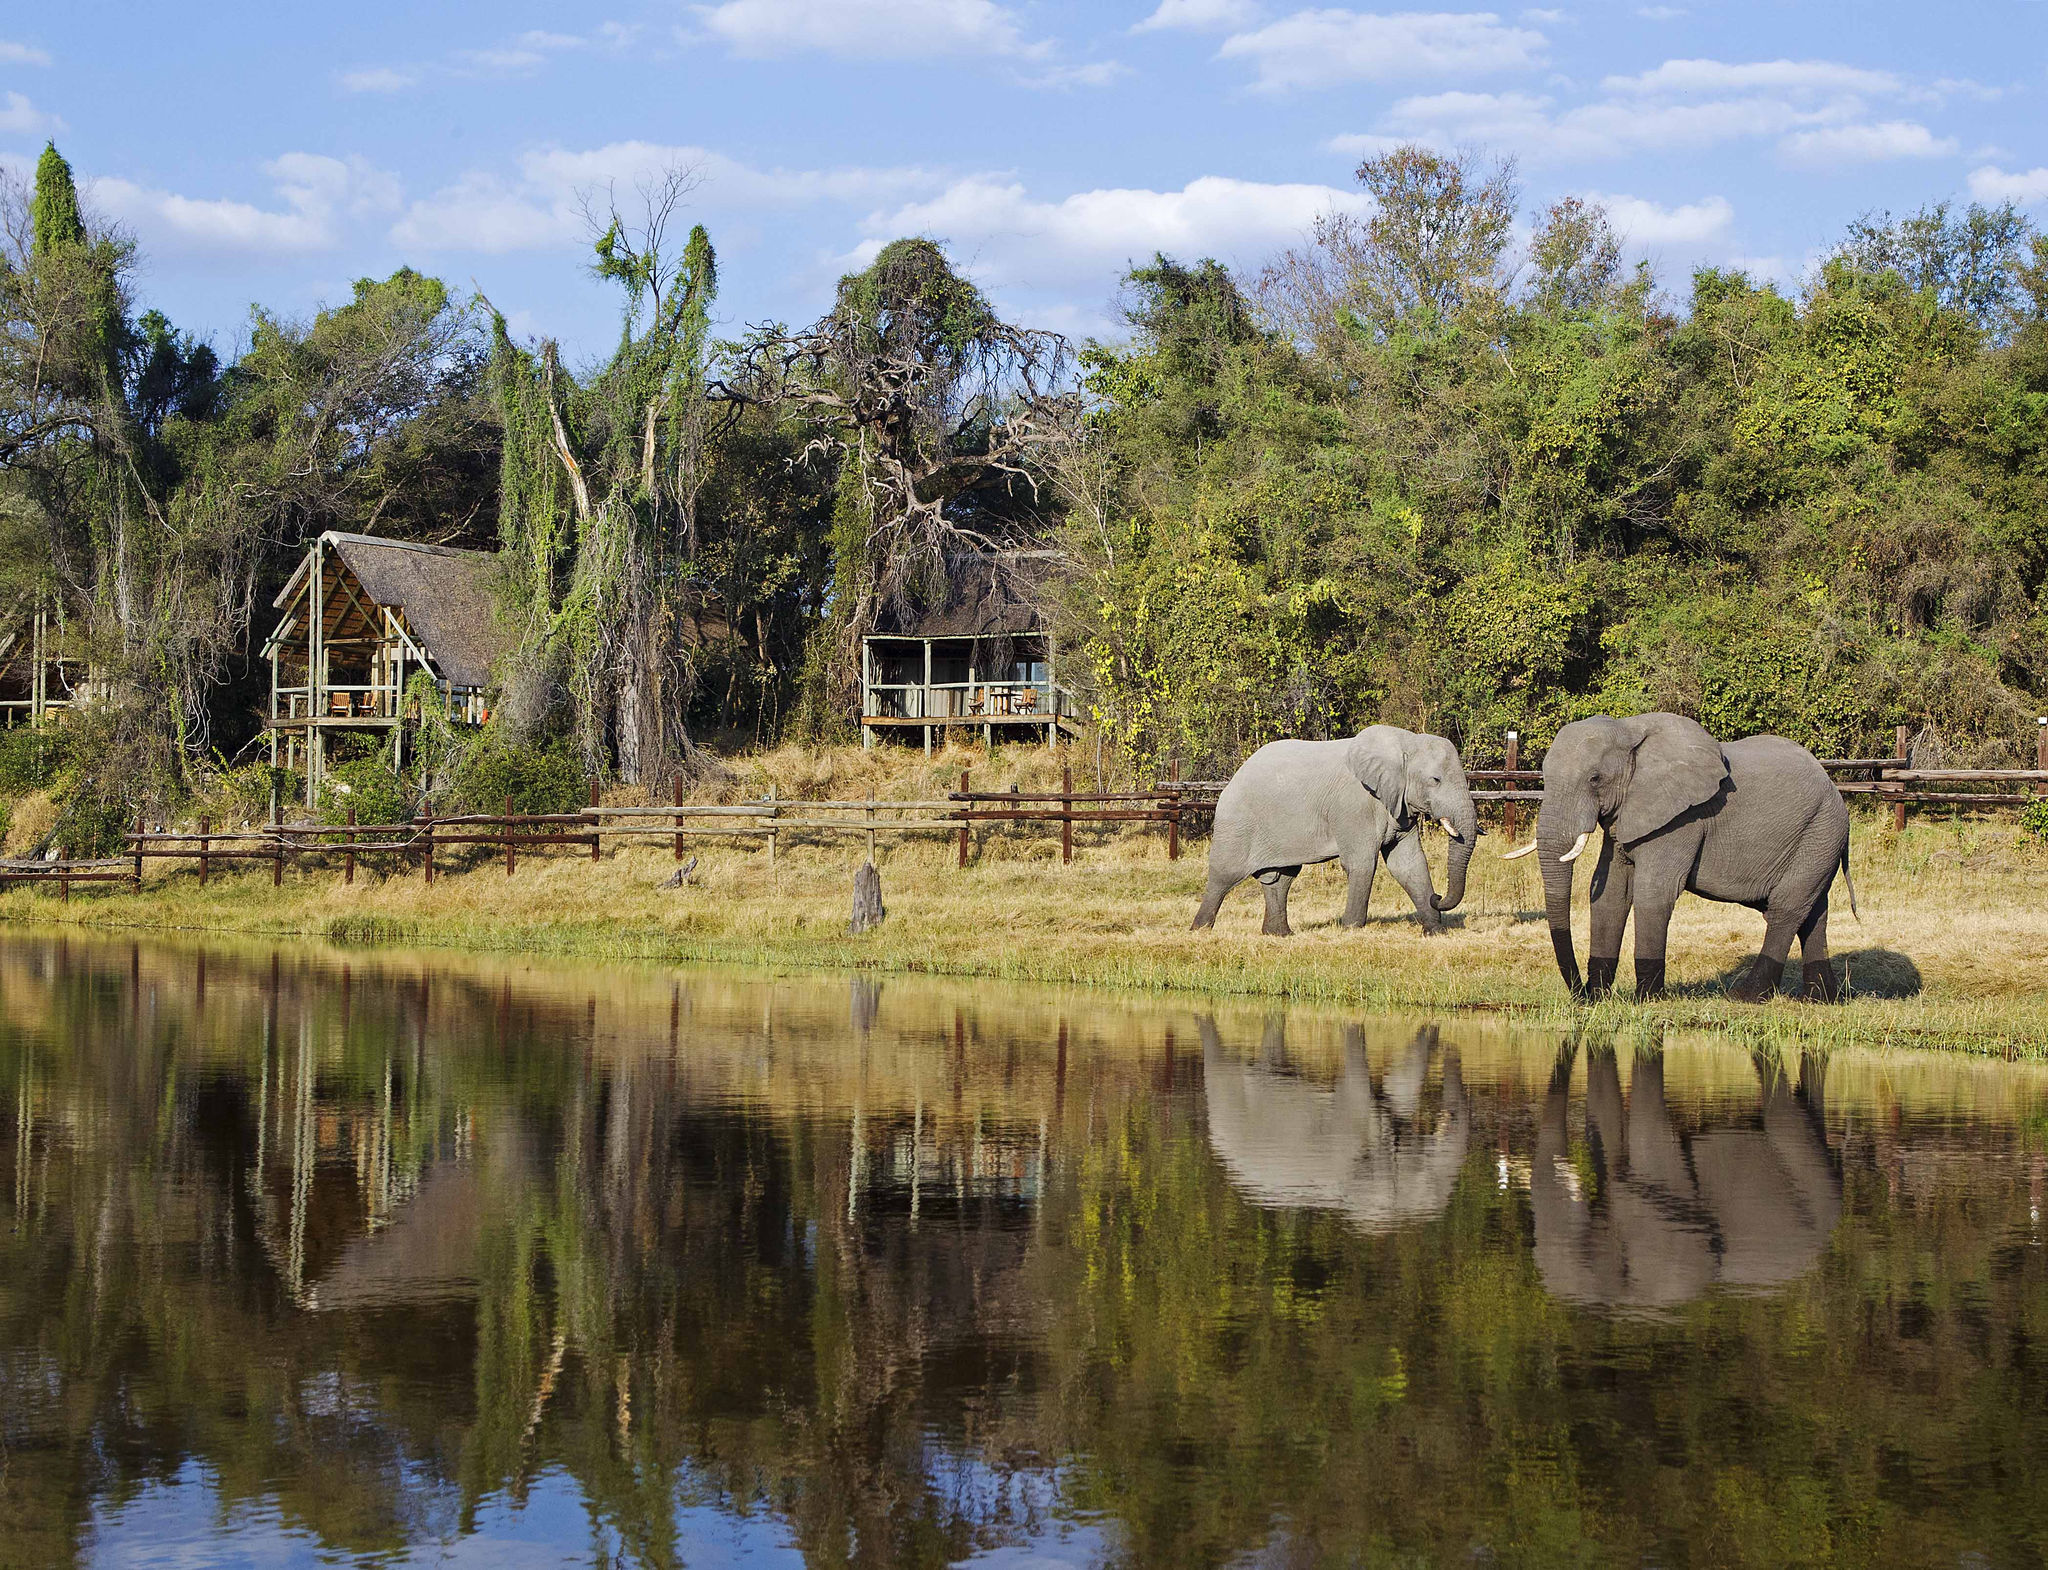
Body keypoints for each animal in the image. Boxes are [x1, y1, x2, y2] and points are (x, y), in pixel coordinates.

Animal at [1196, 728, 1482, 941]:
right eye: (1435, 780)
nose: (1438, 897)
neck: (1404, 741)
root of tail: (1232, 779)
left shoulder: (1399, 806)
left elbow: (1409, 864)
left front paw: (1435, 932)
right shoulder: (1354, 806)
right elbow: (1362, 863)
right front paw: (1352, 930)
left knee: (1280, 879)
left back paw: (1279, 935)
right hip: (1236, 823)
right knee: (1224, 875)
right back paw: (1199, 931)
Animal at [1196, 1019, 1474, 1244]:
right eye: (1428, 1180)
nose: (1450, 1046)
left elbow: (1401, 1082)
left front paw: (1434, 1035)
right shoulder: (1351, 1122)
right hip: (1228, 1100)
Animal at [1507, 708, 1859, 994]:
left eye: (1595, 779)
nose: (1580, 994)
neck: (1629, 729)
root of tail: (1833, 788)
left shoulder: (1683, 818)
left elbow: (1654, 892)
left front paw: (1645, 999)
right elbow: (1610, 895)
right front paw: (1600, 998)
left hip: (1821, 830)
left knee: (1786, 909)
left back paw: (1746, 996)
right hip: (1818, 839)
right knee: (1812, 912)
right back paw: (1821, 999)